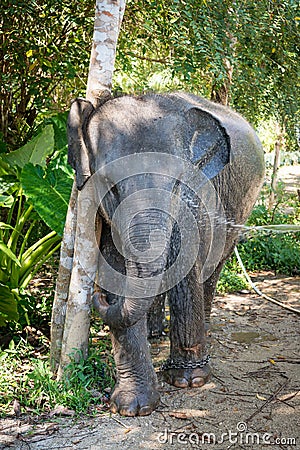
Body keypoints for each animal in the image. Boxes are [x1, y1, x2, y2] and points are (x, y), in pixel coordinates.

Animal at [67, 92, 264, 418]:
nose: (99, 296)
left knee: (213, 269)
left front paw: (189, 381)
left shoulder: (196, 206)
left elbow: (186, 275)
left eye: (177, 183)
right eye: (110, 186)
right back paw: (153, 334)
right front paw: (131, 408)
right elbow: (119, 269)